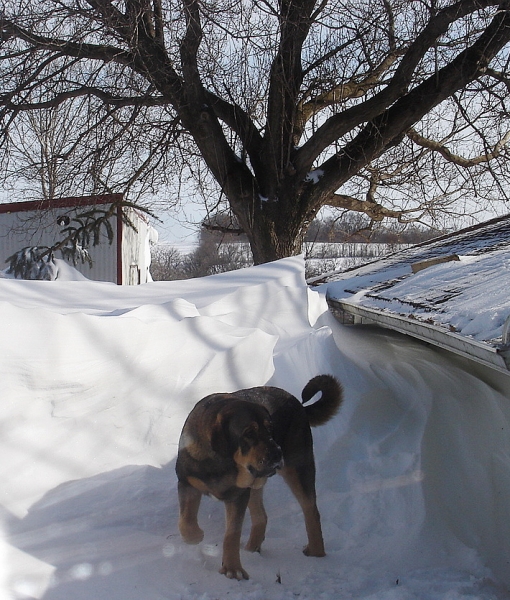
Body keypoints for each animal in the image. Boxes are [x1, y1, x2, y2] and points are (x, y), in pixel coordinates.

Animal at [175, 378, 342, 580]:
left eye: (270, 429)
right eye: (249, 433)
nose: (278, 454)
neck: (222, 463)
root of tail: (298, 404)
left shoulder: (238, 496)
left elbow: (232, 535)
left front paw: (233, 569)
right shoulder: (187, 482)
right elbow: (186, 520)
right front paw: (195, 536)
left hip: (298, 468)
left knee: (310, 510)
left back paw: (316, 552)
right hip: (257, 483)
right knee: (262, 515)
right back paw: (252, 548)